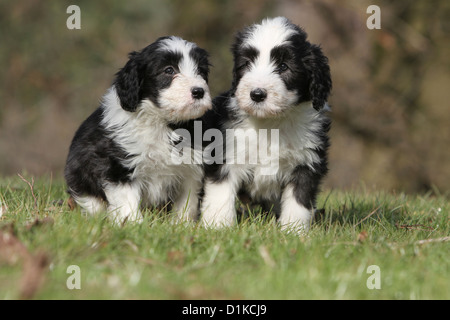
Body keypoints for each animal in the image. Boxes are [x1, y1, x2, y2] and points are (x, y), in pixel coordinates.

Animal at [64, 36, 212, 224]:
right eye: (169, 70)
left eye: (200, 71)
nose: (199, 91)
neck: (161, 122)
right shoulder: (119, 166)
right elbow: (127, 199)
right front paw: (132, 224)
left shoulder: (190, 170)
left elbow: (187, 203)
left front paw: (181, 224)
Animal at [200, 16, 330, 232]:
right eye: (247, 64)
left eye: (284, 66)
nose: (257, 94)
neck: (270, 123)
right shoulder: (226, 155)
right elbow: (221, 194)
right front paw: (217, 227)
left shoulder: (306, 162)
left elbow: (298, 201)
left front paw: (293, 232)